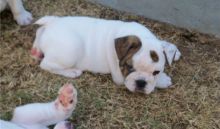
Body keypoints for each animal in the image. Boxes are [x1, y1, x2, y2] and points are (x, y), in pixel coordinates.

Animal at [31, 15, 180, 93]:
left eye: (156, 72)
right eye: (130, 68)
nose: (141, 83)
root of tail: (52, 22)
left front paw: (173, 51)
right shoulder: (120, 77)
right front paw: (163, 80)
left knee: (39, 32)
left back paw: (36, 50)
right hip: (70, 51)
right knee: (46, 65)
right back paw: (71, 72)